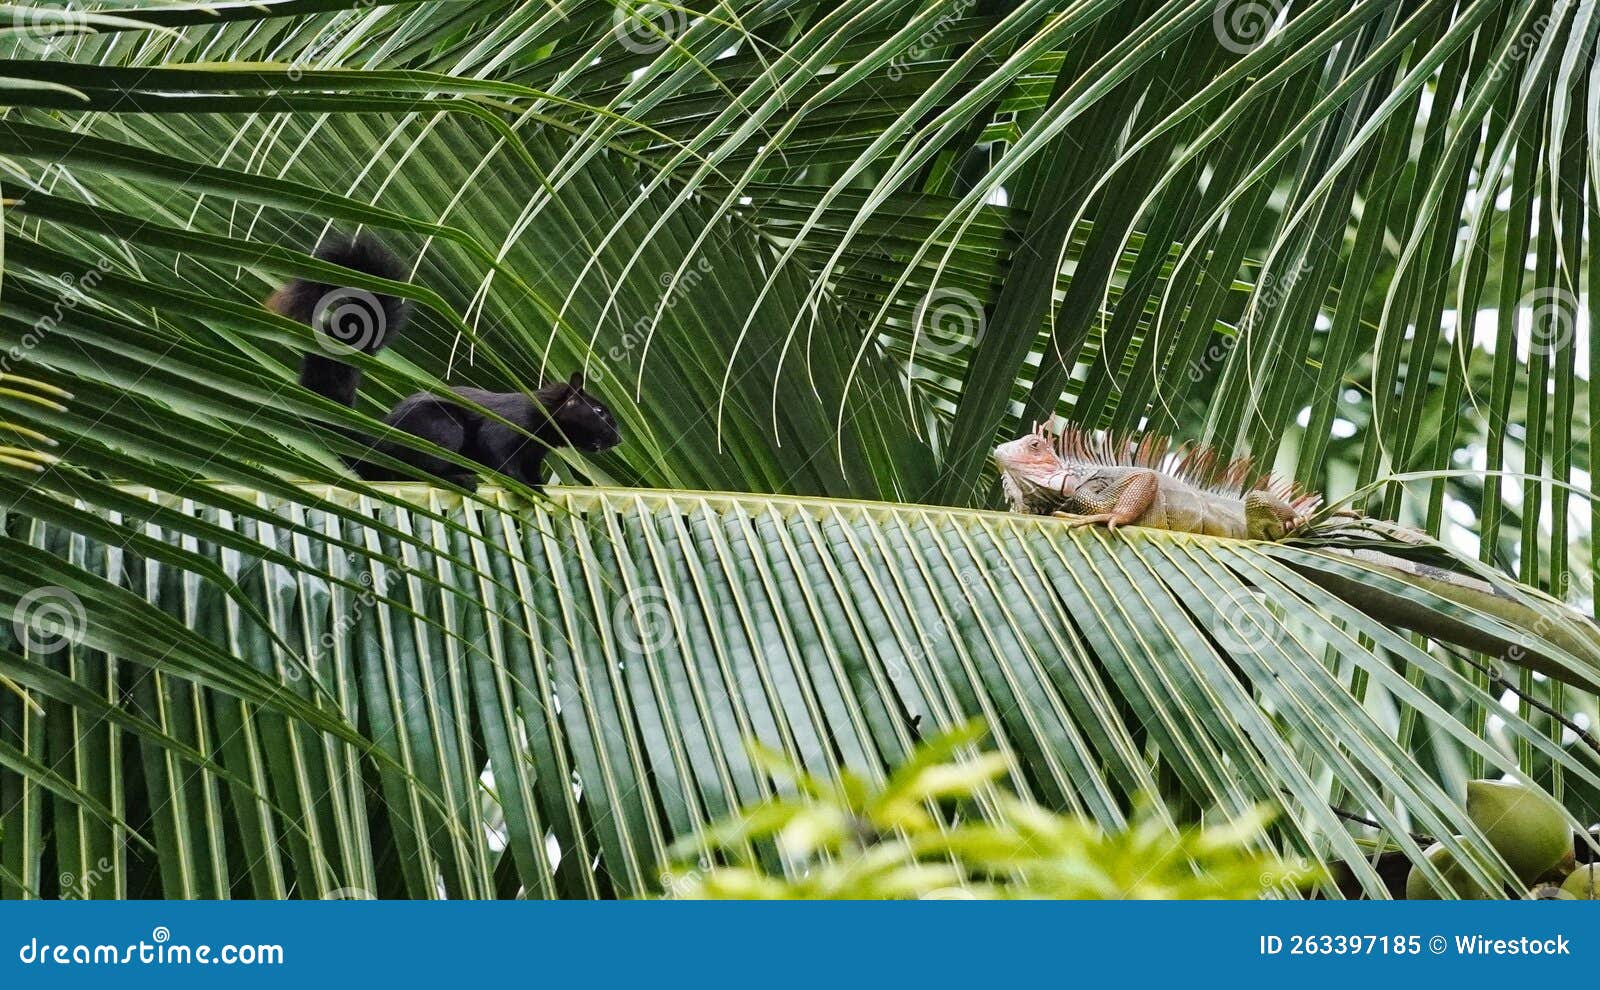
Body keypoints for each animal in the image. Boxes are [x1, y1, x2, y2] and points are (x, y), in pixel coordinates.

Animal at [271, 234, 621, 491]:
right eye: (600, 412)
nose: (618, 438)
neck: (543, 425)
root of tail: (377, 443)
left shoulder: (534, 456)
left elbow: (530, 470)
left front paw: (540, 489)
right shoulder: (504, 427)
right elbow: (500, 458)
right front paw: (530, 490)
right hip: (443, 427)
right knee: (412, 471)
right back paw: (460, 478)